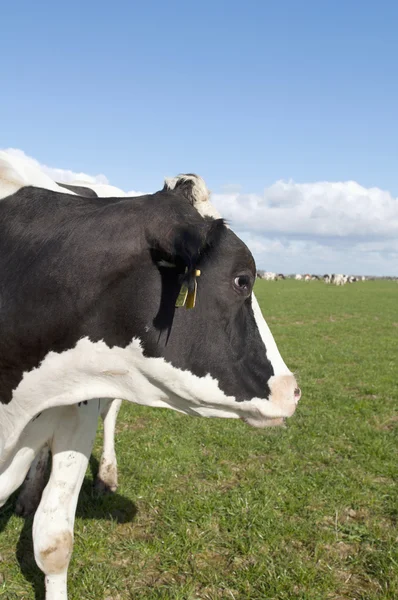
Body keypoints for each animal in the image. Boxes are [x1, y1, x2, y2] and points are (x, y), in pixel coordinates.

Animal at [0, 151, 300, 600]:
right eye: (242, 280)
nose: (292, 389)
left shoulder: (76, 406)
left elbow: (54, 543)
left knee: (110, 413)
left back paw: (105, 475)